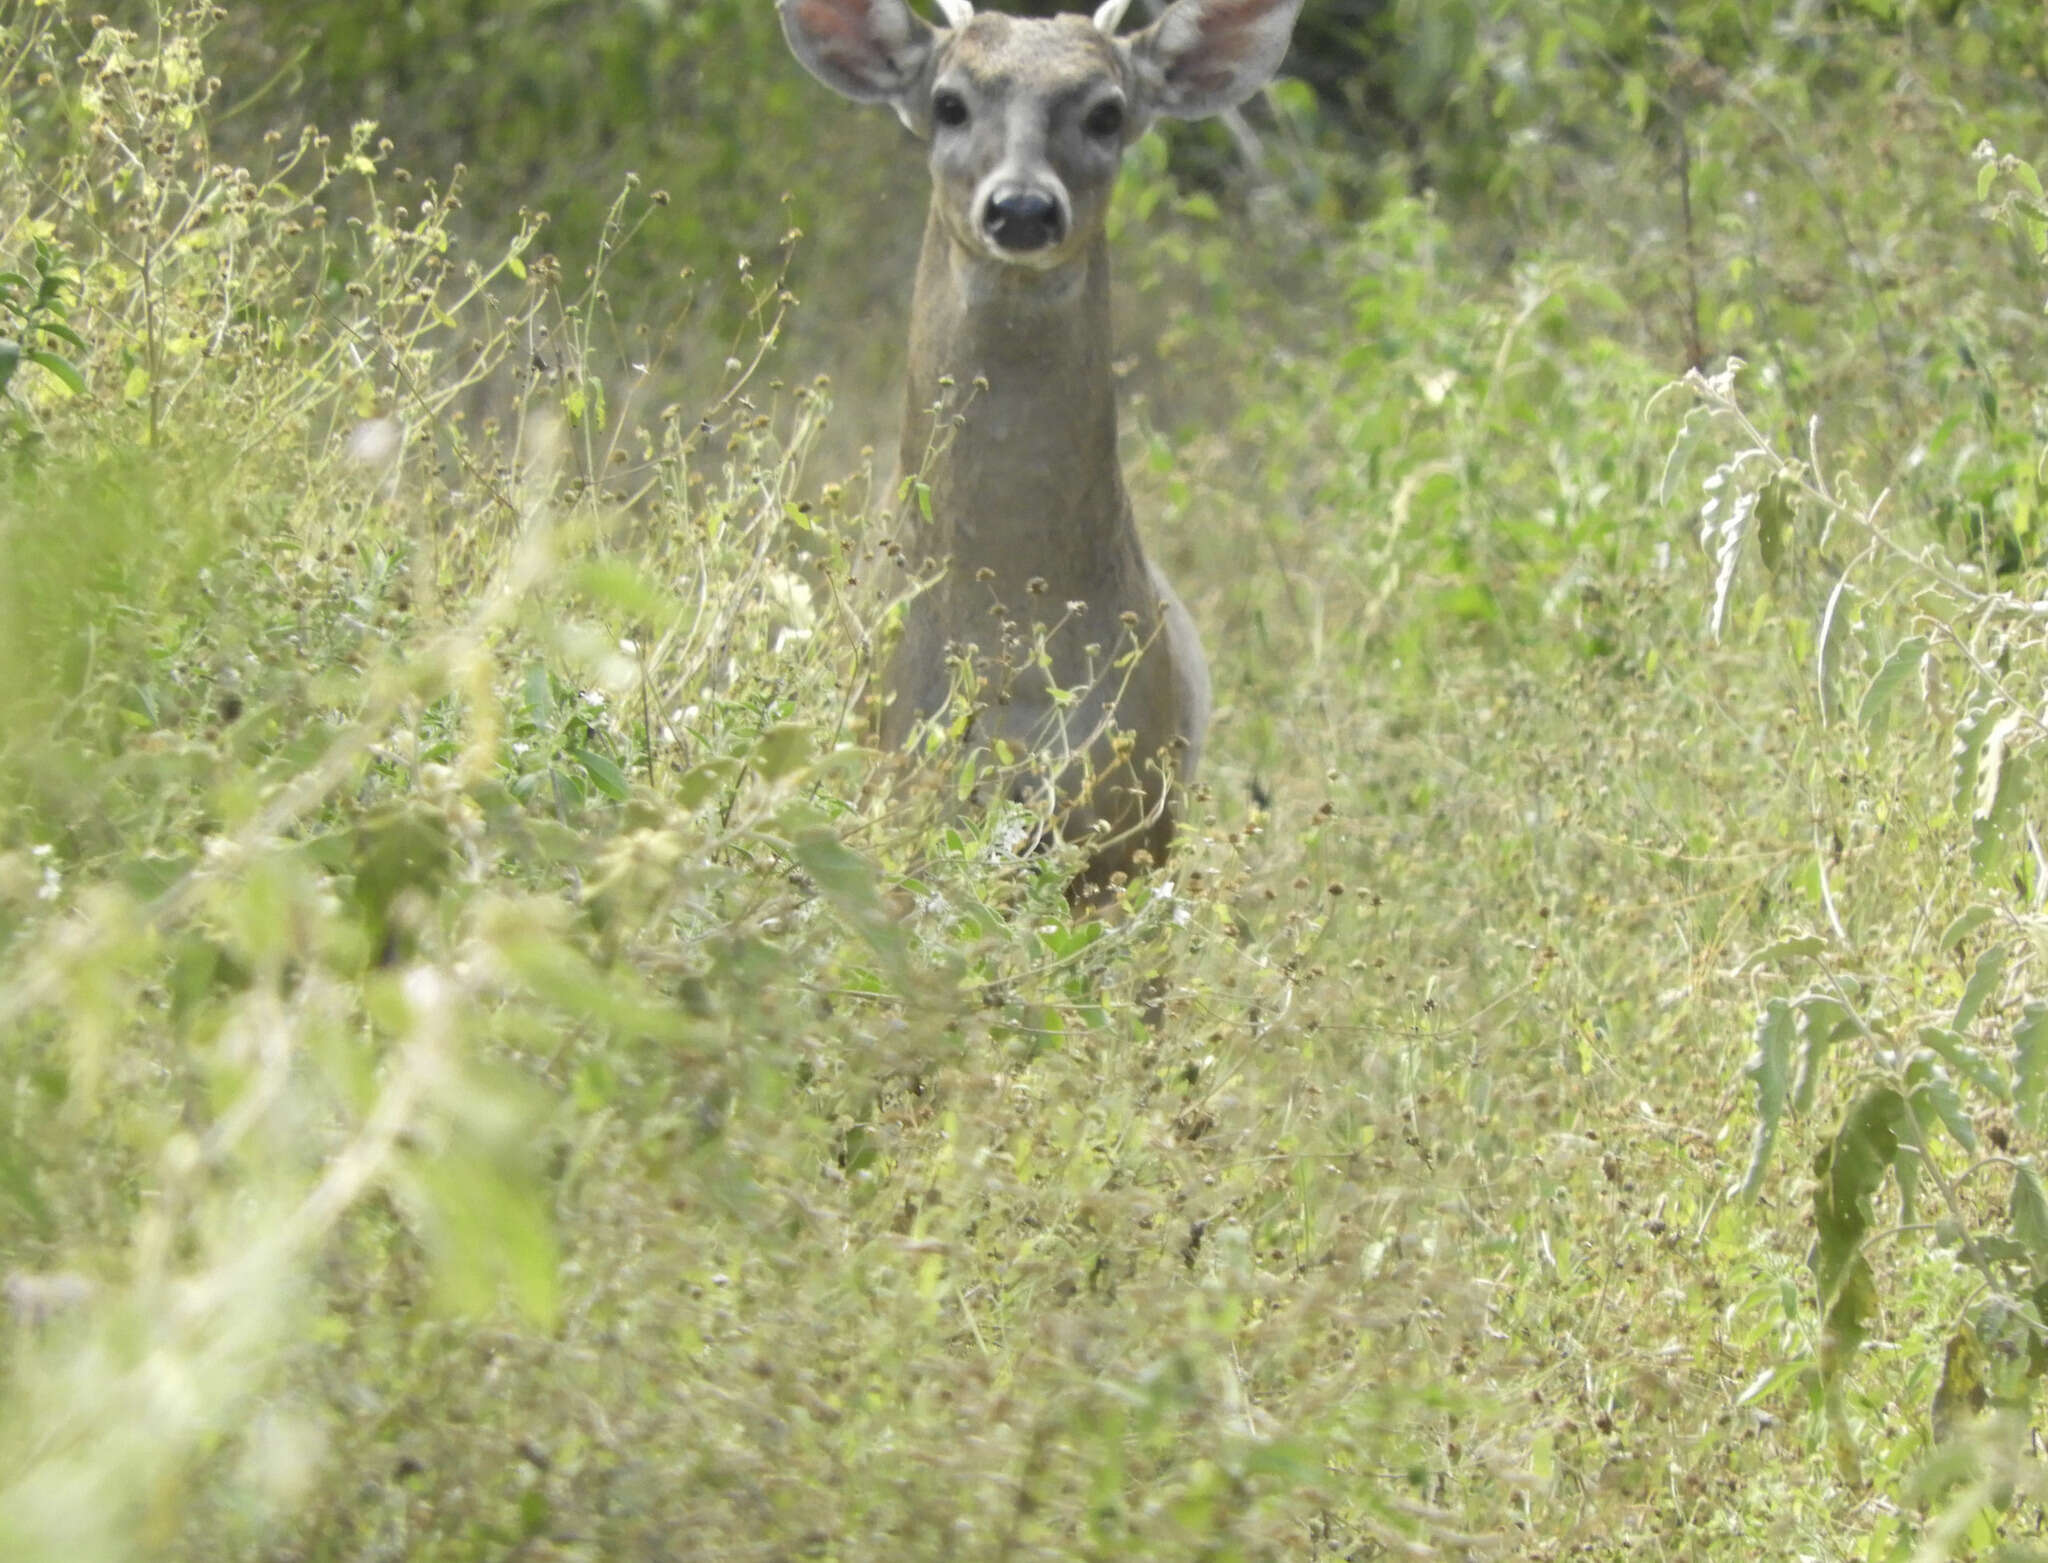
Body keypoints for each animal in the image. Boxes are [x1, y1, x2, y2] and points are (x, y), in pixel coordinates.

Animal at [774, 0, 1302, 893]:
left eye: (1107, 112)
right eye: (949, 102)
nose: (1021, 208)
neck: (1012, 637)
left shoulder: (1126, 814)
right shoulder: (898, 777)